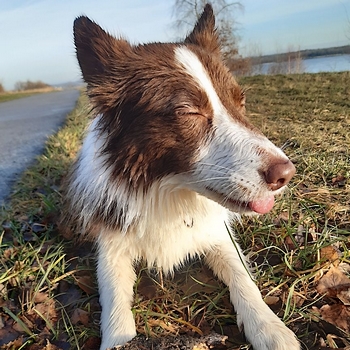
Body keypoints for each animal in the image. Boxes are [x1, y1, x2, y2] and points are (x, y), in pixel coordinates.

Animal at [65, 5, 298, 350]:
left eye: (240, 102)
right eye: (189, 112)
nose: (286, 174)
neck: (170, 192)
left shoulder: (217, 233)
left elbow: (242, 276)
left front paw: (270, 328)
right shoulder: (112, 240)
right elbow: (115, 299)